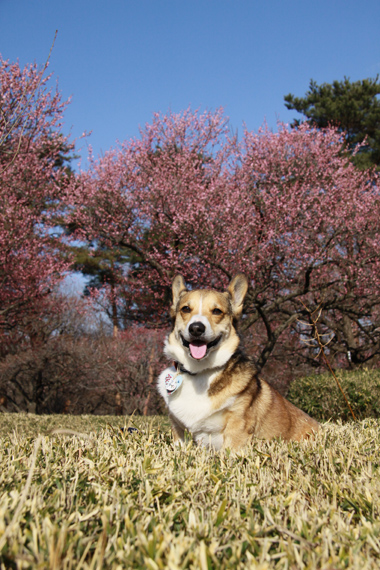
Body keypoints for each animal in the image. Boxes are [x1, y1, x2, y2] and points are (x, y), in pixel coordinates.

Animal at [156, 272, 320, 450]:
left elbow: (231, 450)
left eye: (217, 311)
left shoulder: (238, 424)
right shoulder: (178, 430)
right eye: (185, 309)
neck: (199, 371)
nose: (196, 328)